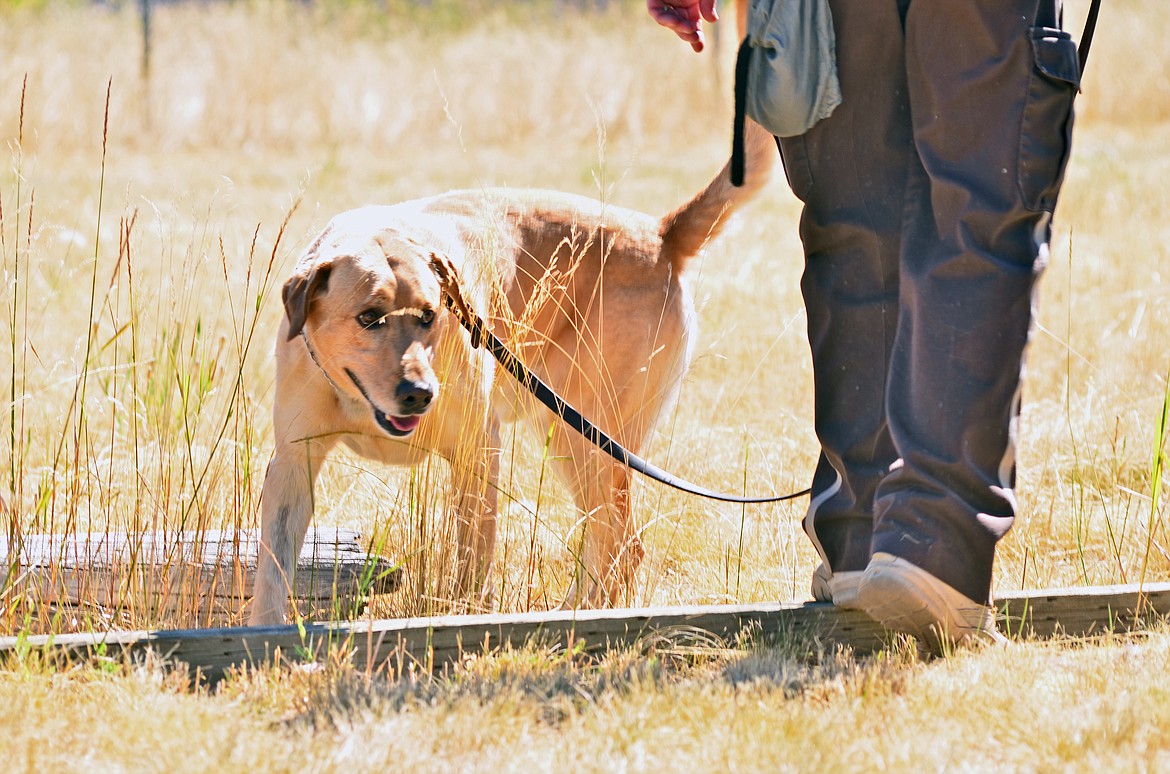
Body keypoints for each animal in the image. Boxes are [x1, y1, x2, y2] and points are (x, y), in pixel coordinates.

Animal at [249, 122, 776, 631]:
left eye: (429, 315)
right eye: (368, 317)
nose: (420, 394)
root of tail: (662, 234)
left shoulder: (477, 450)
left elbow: (469, 561)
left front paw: (458, 622)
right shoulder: (293, 463)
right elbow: (272, 570)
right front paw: (264, 634)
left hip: (584, 437)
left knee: (621, 547)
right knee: (610, 544)